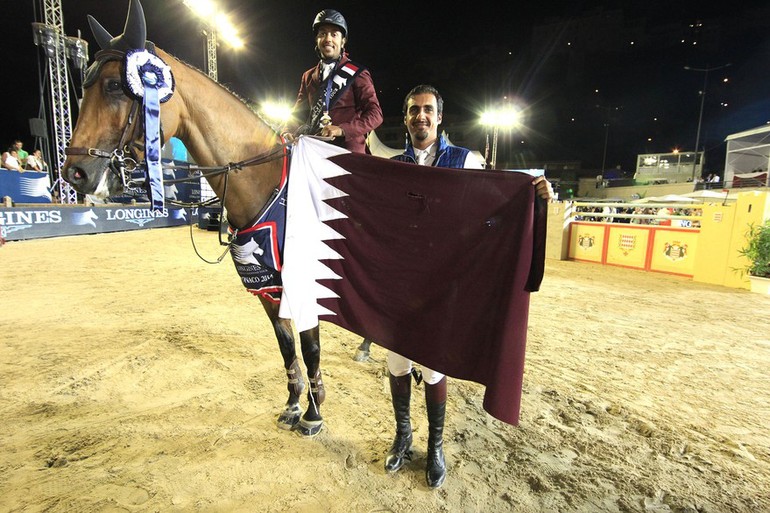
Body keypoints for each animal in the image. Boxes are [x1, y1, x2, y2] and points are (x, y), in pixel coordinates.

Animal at [61, 1, 322, 436]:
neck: (267, 182)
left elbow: (310, 344)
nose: (74, 173)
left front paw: (315, 415)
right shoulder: (268, 288)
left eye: (114, 86)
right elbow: (287, 345)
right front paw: (292, 404)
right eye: (82, 86)